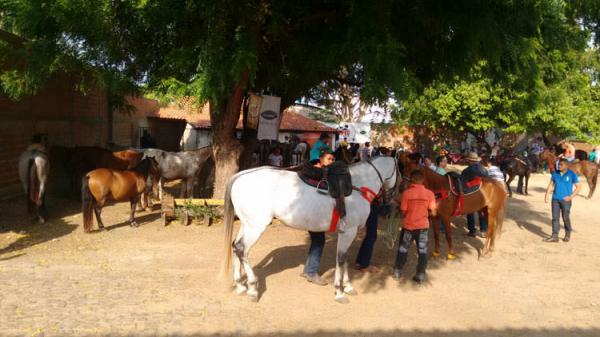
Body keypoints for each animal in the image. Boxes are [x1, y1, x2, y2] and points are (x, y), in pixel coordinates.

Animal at [221, 156, 398, 304]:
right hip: (256, 227)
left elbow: (345, 259)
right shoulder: (349, 231)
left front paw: (348, 286)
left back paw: (240, 286)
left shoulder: (347, 233)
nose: (392, 199)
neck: (358, 185)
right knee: (242, 249)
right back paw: (252, 288)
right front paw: (339, 292)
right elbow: (341, 260)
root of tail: (241, 175)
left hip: (246, 224)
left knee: (235, 246)